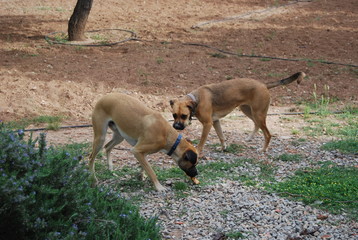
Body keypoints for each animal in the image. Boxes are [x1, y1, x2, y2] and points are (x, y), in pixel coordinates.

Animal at [170, 71, 304, 155]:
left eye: (184, 116)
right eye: (174, 115)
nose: (176, 127)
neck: (197, 99)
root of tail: (264, 85)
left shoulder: (208, 124)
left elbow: (202, 141)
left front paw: (198, 151)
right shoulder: (215, 121)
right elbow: (221, 136)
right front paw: (223, 148)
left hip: (258, 114)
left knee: (267, 134)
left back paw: (263, 149)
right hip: (248, 110)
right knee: (256, 125)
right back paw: (250, 138)